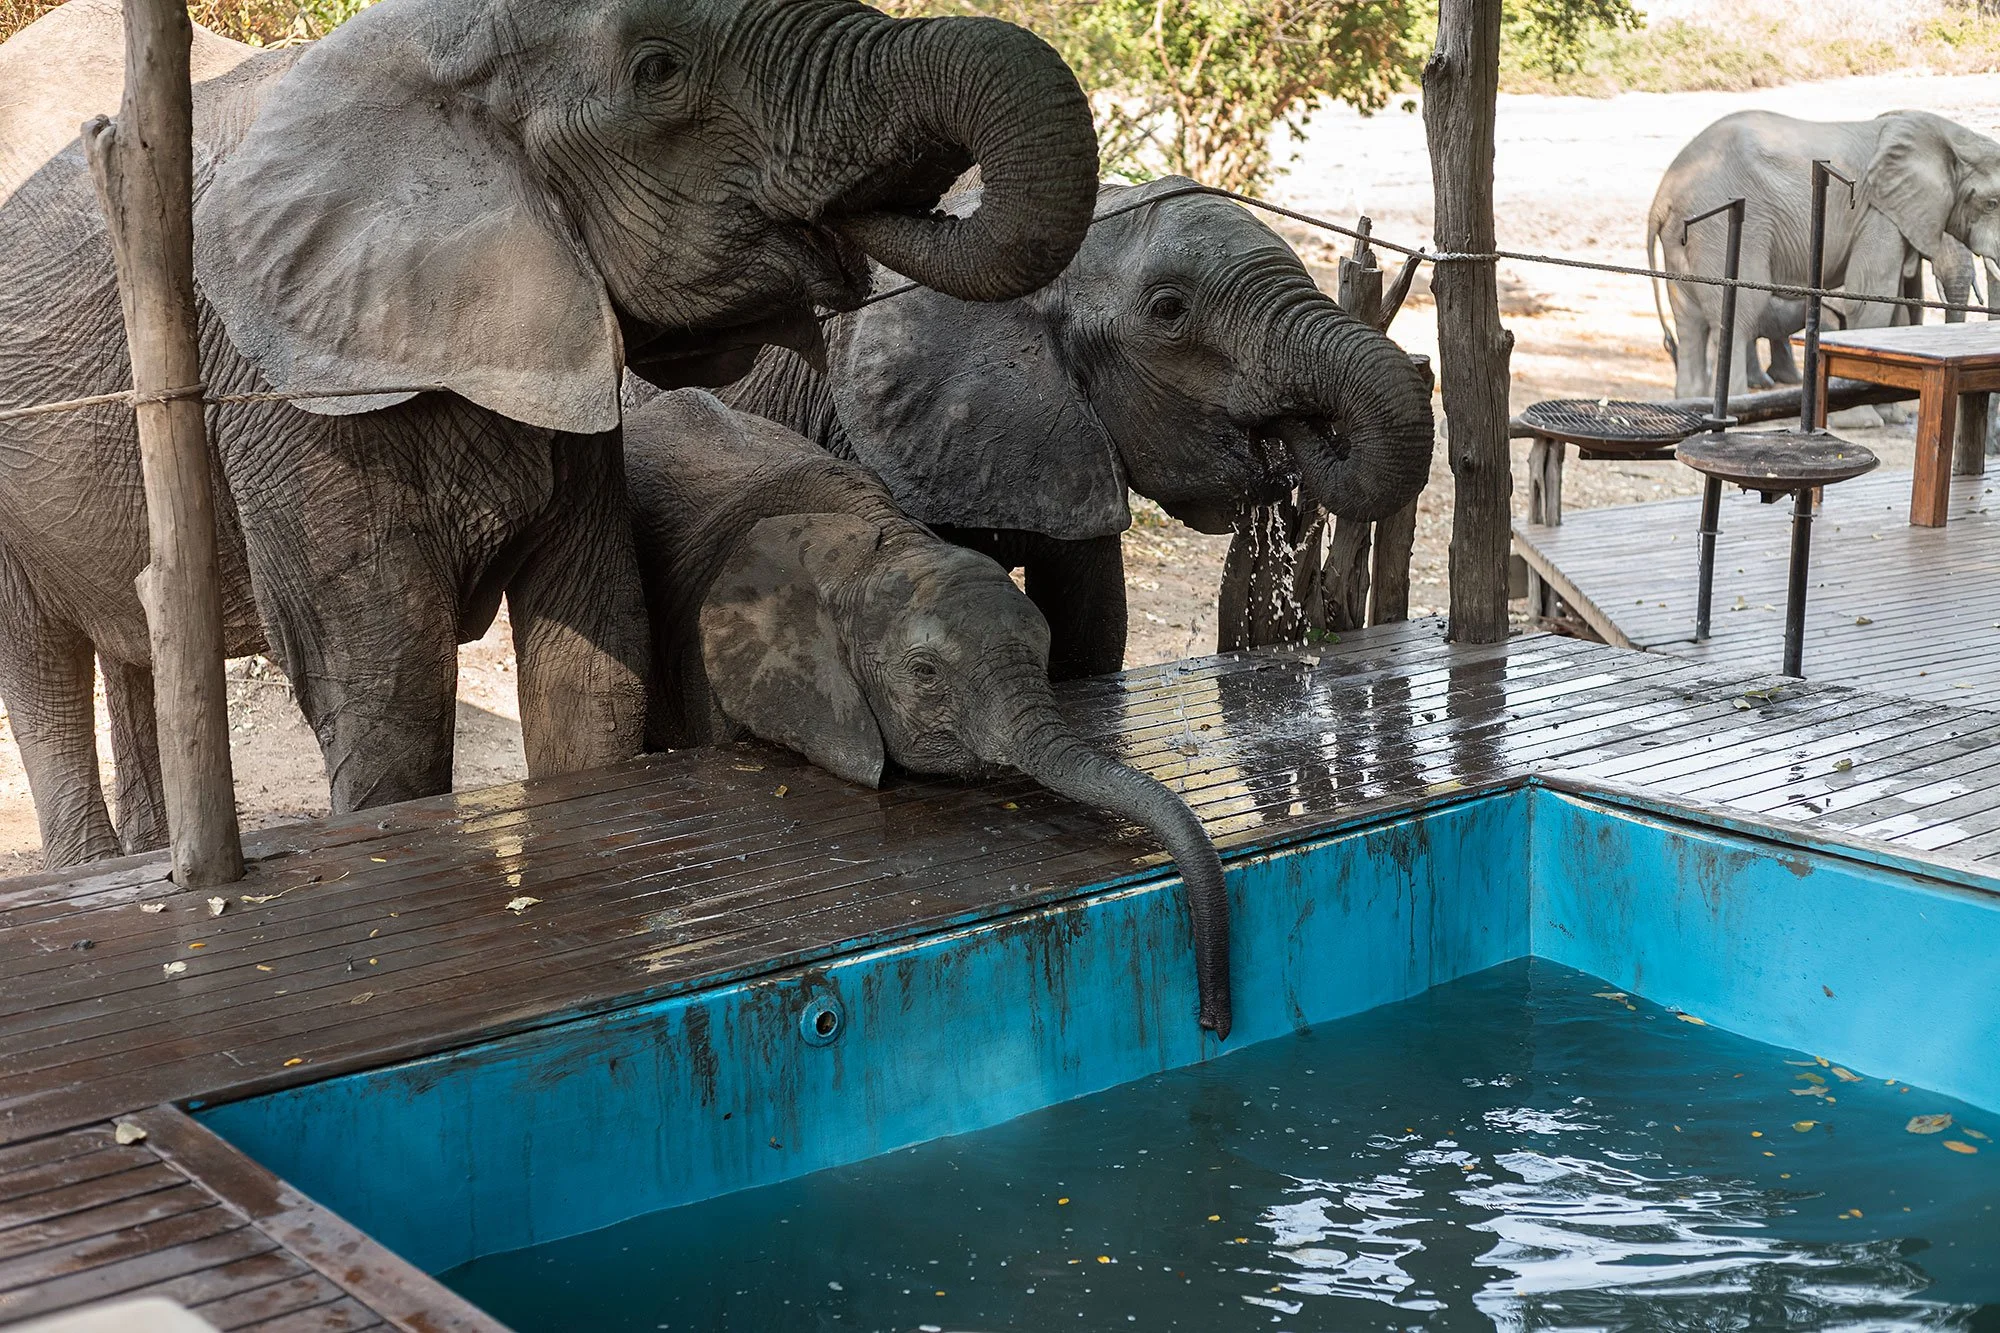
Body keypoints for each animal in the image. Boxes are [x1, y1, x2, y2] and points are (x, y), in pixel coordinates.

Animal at [0, 0, 1098, 868]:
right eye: (658, 72)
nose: (854, 226)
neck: (436, 51)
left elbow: (595, 651)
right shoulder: (281, 387)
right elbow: (386, 680)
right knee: (43, 668)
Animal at [1648, 110, 2000, 400]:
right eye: (1992, 204)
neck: (1951, 135)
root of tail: (1662, 196)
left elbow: (1895, 306)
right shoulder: (1877, 213)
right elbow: (1868, 298)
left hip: (1683, 240)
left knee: (1689, 321)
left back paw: (1691, 401)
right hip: (1723, 226)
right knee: (1739, 312)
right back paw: (1735, 401)